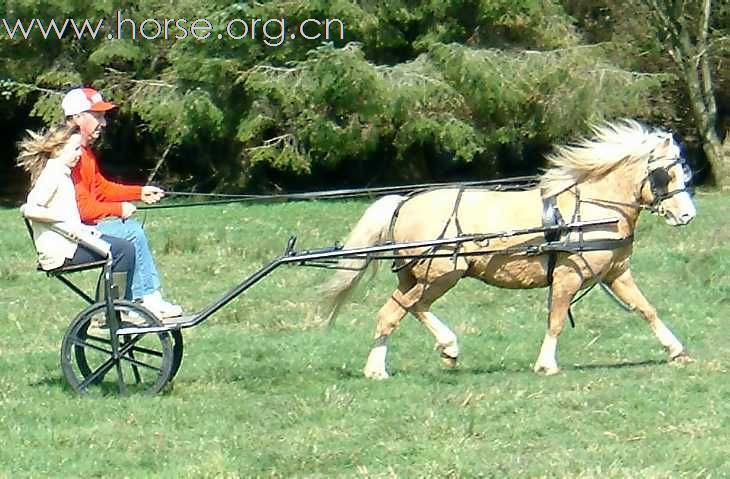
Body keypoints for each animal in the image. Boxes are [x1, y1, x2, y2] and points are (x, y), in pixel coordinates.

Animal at [322, 120, 692, 378]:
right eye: (665, 174)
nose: (687, 214)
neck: (593, 206)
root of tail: (404, 203)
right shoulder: (567, 276)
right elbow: (557, 319)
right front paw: (546, 364)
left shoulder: (616, 273)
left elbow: (646, 309)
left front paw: (677, 351)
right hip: (441, 275)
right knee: (398, 311)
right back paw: (386, 366)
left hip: (420, 278)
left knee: (405, 309)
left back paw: (435, 351)